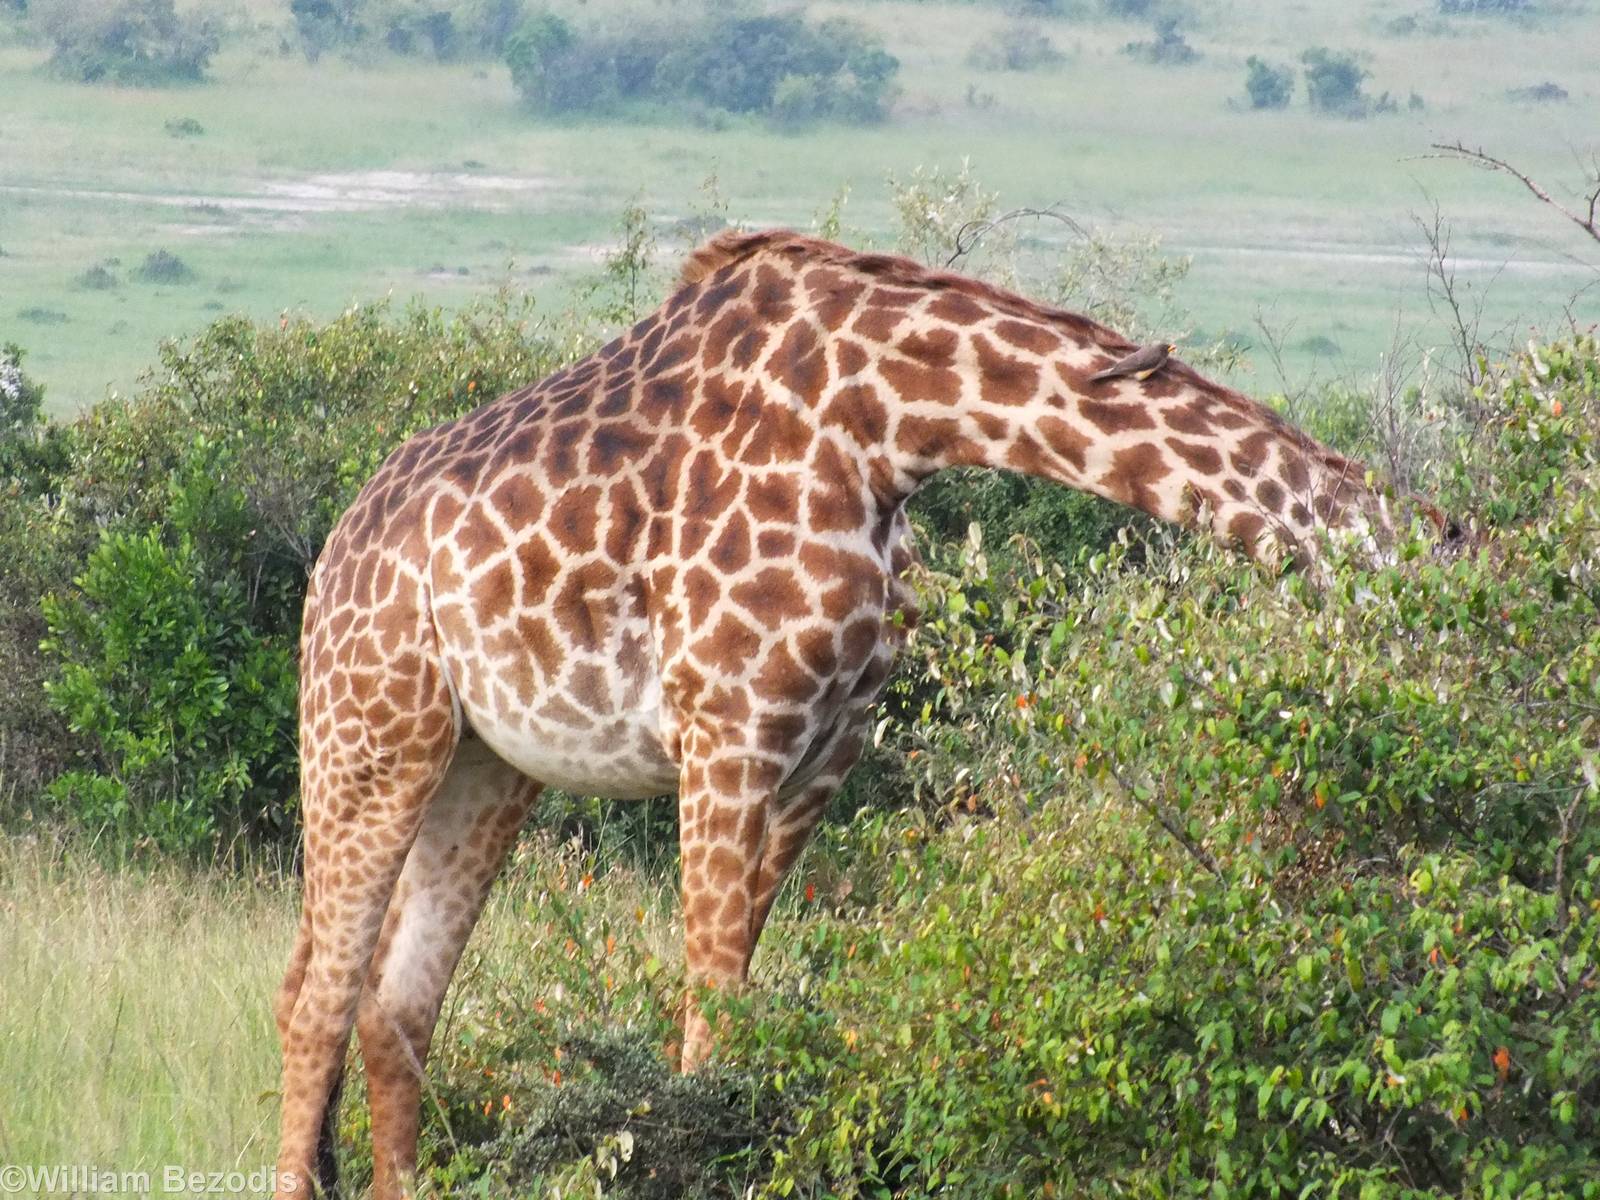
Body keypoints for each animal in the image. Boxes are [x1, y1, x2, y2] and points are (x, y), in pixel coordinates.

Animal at [272, 229, 1420, 1197]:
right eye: (1413, 552)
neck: (888, 426)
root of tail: (335, 555)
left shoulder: (829, 745)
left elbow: (741, 1003)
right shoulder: (725, 728)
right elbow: (710, 1017)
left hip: (486, 763)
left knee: (394, 1003)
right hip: (370, 731)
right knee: (314, 1001)